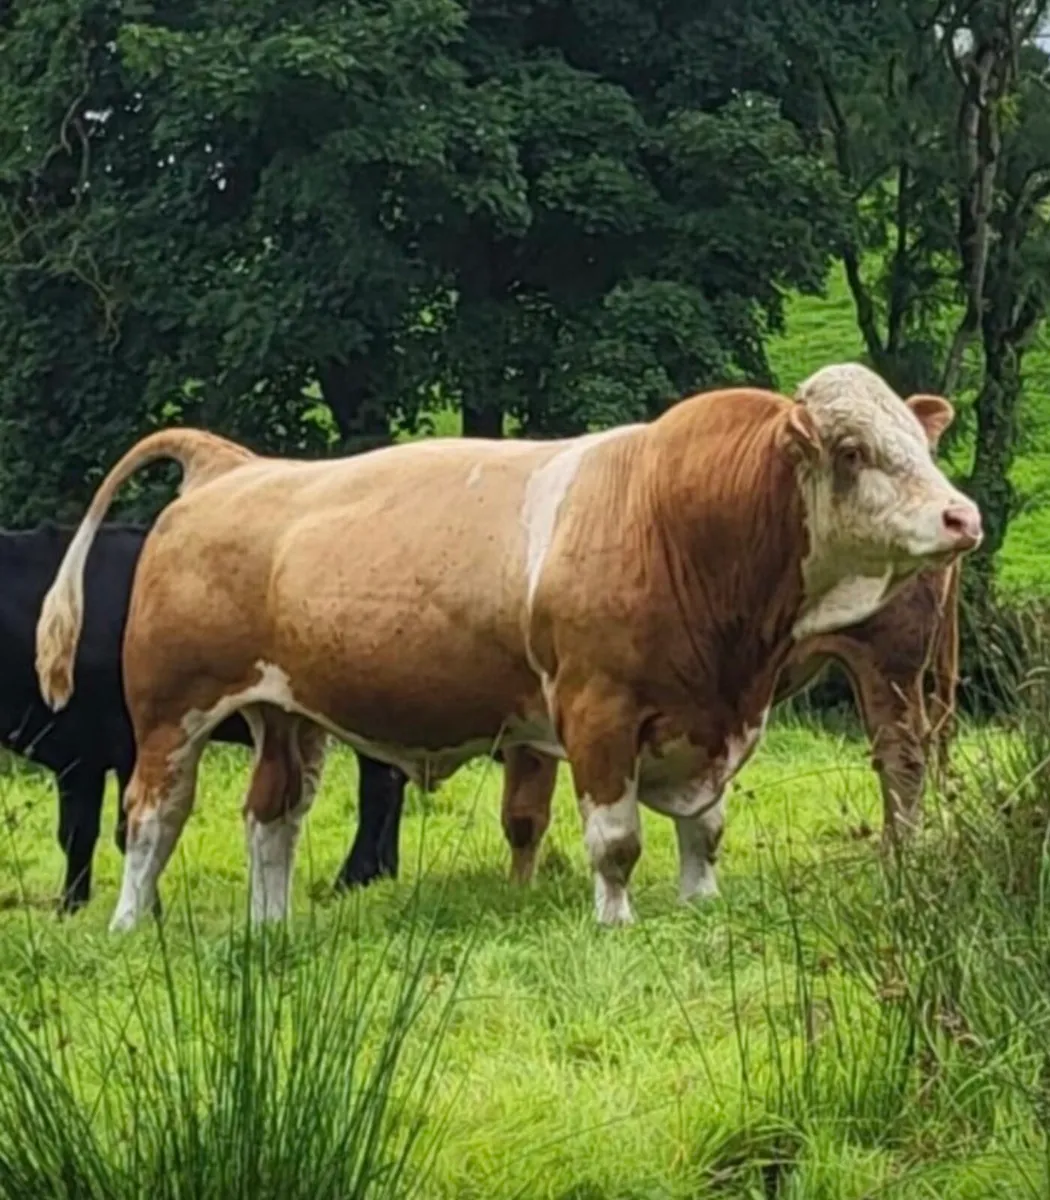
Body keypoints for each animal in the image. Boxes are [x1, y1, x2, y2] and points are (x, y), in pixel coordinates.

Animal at [0, 521, 406, 913]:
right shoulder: (76, 752)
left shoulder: (121, 744)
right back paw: (381, 872)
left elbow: (118, 829)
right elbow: (75, 834)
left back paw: (353, 878)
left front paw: (143, 910)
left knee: (379, 788)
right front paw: (72, 907)